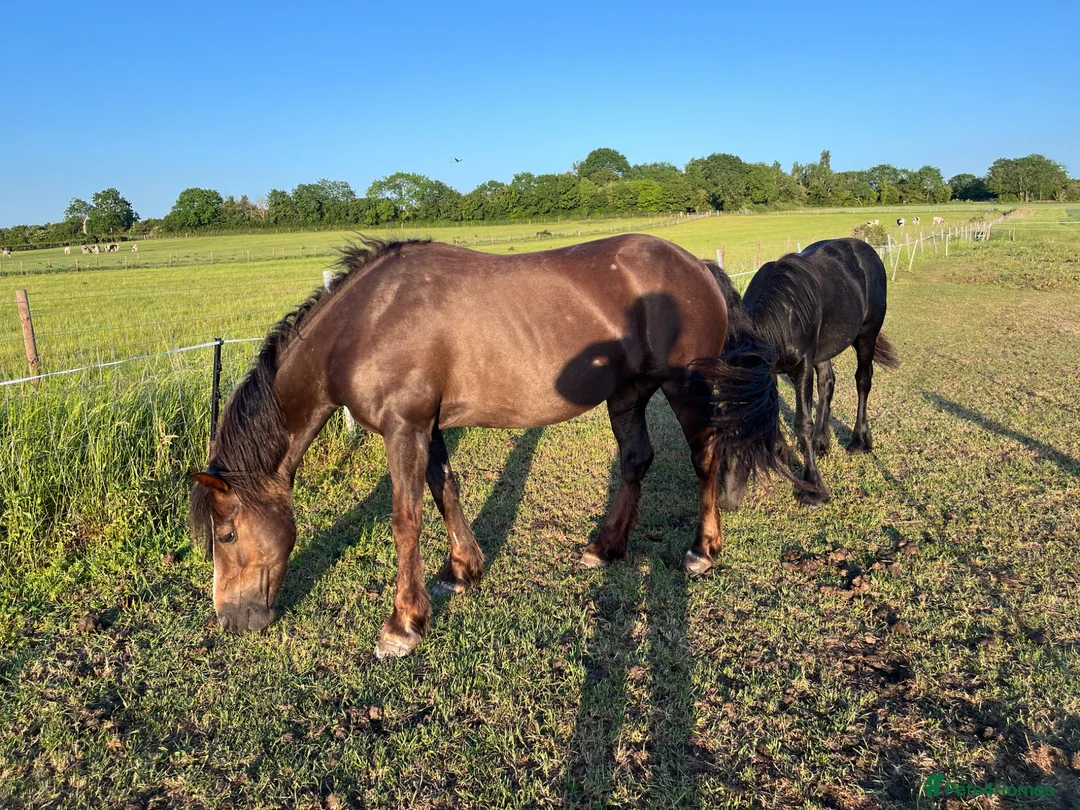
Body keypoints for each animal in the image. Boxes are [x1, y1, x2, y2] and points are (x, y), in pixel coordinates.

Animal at [189, 235, 789, 658]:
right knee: (636, 461)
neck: (365, 322)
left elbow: (406, 519)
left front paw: (403, 624)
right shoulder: (426, 428)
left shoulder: (404, 428)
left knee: (705, 457)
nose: (230, 620)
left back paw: (702, 551)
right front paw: (462, 571)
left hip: (686, 387)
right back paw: (604, 547)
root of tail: (696, 265)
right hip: (627, 393)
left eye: (227, 533)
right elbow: (446, 491)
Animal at [705, 238, 899, 509]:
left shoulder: (803, 367)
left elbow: (802, 423)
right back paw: (821, 443)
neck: (783, 316)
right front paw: (781, 453)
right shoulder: (771, 372)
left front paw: (813, 488)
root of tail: (866, 249)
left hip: (866, 336)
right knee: (827, 384)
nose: (726, 501)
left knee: (863, 380)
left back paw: (859, 441)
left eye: (744, 441)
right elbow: (774, 414)